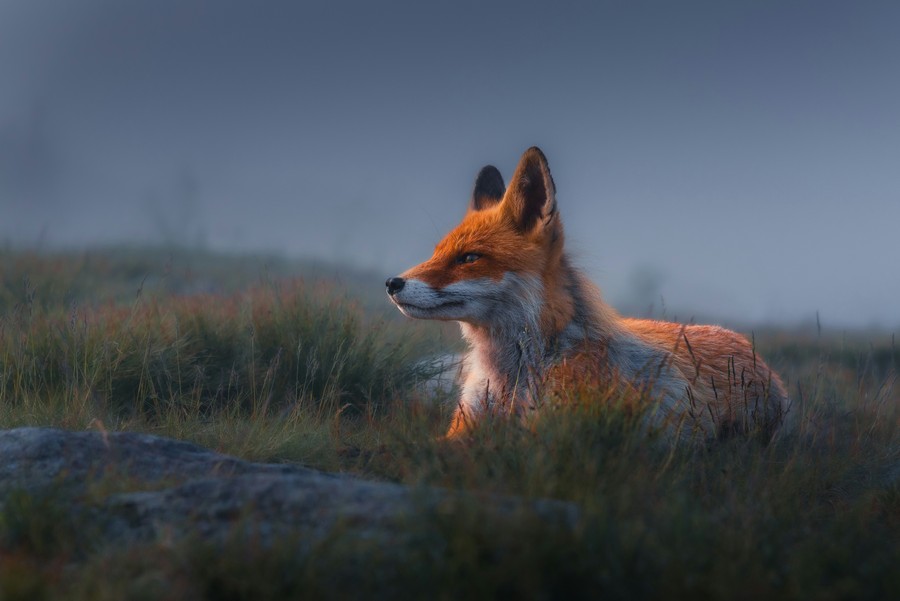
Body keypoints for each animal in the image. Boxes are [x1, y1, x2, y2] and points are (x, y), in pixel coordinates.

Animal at [386, 147, 789, 440]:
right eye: (436, 253)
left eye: (469, 258)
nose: (392, 283)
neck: (513, 382)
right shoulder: (464, 428)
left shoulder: (550, 434)